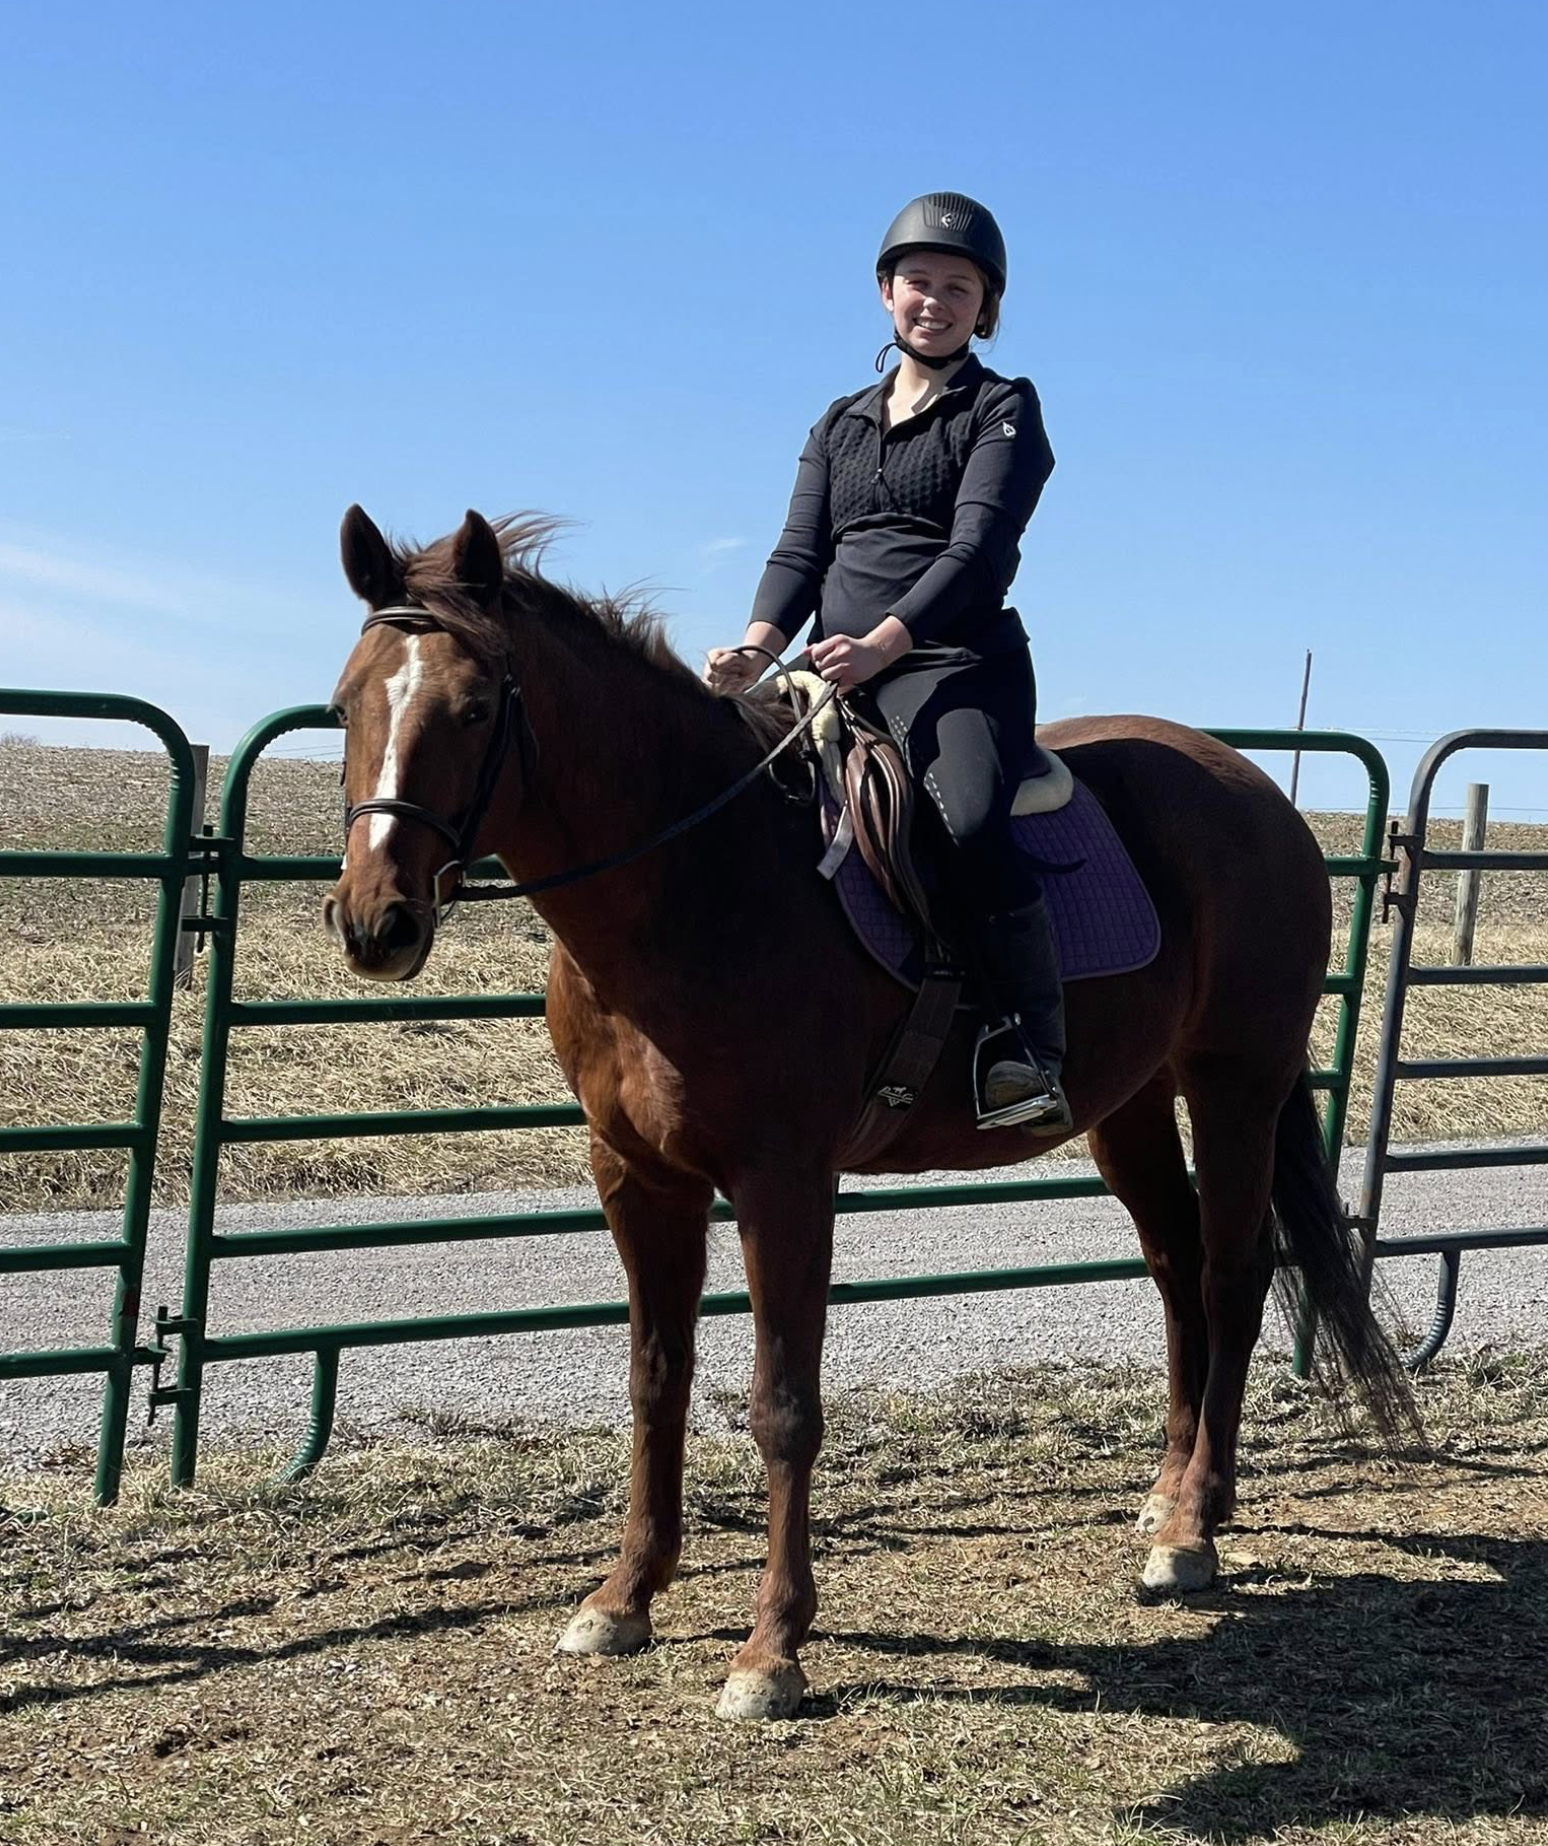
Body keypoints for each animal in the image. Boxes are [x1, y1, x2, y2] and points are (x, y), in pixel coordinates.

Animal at [324, 505, 1413, 1720]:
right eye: (346, 705)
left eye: (474, 709)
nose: (375, 923)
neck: (701, 881)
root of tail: (1257, 792)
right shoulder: (638, 1178)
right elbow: (656, 1383)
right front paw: (623, 1598)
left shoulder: (784, 1182)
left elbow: (781, 1406)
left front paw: (772, 1650)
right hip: (1129, 1105)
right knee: (1179, 1270)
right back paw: (1174, 1495)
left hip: (1234, 1084)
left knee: (1229, 1277)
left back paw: (1191, 1530)